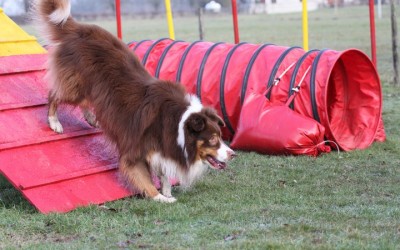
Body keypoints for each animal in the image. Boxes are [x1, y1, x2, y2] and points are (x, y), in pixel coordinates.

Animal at [33, 0, 234, 203]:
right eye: (213, 139)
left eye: (221, 136)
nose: (233, 154)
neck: (177, 123)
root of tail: (80, 28)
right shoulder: (136, 149)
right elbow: (144, 177)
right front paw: (160, 197)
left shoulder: (162, 147)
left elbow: (163, 172)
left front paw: (167, 191)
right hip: (76, 87)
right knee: (55, 94)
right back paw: (54, 122)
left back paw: (91, 119)